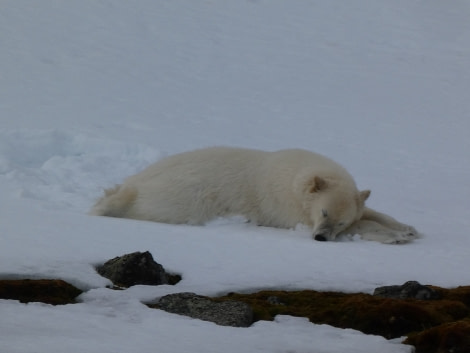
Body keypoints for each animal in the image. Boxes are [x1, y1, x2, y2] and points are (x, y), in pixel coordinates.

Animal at [91, 147, 418, 243]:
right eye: (325, 213)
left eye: (339, 222)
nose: (321, 238)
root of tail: (135, 183)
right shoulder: (287, 206)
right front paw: (396, 236)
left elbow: (368, 211)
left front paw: (407, 227)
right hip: (182, 197)